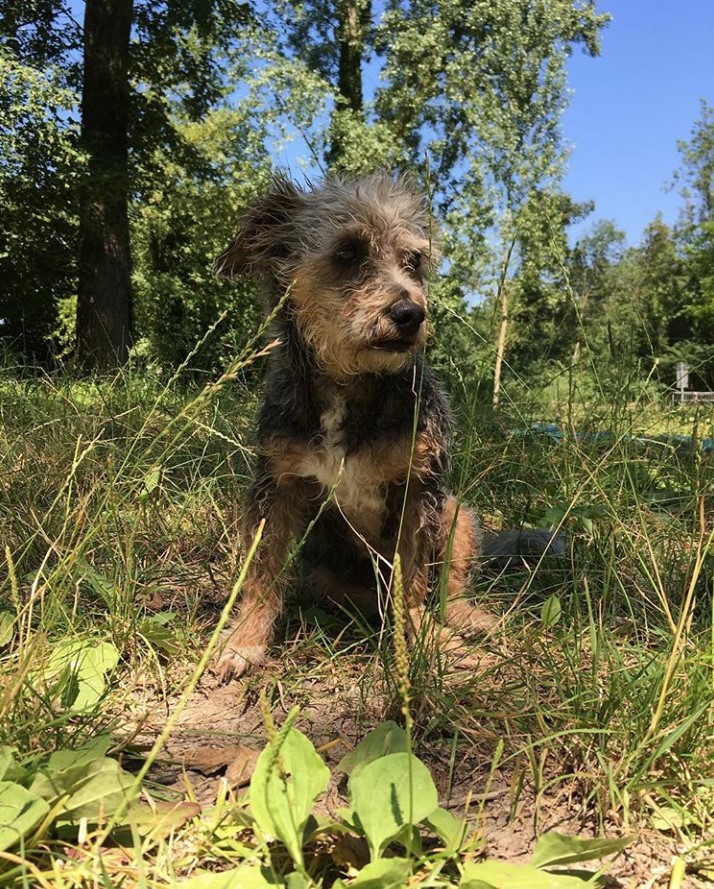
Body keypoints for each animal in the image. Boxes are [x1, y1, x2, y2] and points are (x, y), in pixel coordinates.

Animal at [211, 172, 496, 680]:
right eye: (347, 252)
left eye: (413, 261)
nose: (411, 313)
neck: (348, 385)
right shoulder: (275, 486)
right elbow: (262, 574)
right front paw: (245, 641)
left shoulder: (418, 491)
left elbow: (415, 580)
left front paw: (429, 640)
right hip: (328, 575)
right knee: (369, 598)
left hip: (456, 513)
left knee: (448, 586)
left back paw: (465, 619)